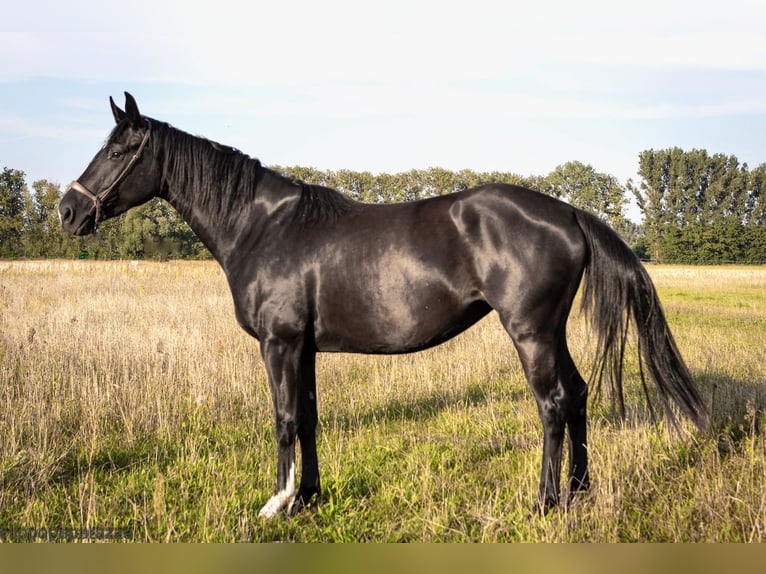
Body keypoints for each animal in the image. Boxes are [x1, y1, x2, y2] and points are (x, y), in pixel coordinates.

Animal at [59, 93, 709, 519]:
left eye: (120, 149)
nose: (68, 210)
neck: (263, 226)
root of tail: (569, 211)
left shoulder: (279, 343)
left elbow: (284, 419)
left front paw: (276, 503)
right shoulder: (305, 348)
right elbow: (309, 417)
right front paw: (310, 498)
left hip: (530, 333)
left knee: (552, 404)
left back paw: (544, 503)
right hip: (552, 332)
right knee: (576, 397)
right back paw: (579, 494)